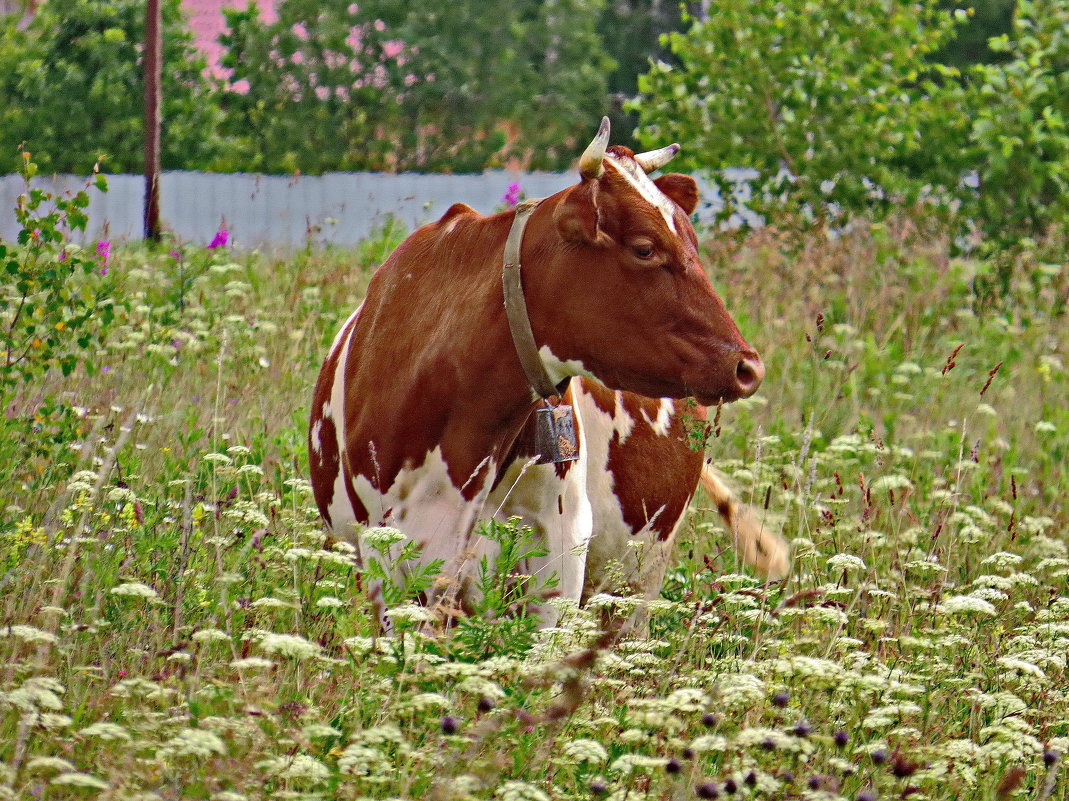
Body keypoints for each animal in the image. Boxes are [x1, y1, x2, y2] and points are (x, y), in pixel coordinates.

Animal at [305, 118, 791, 628]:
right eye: (644, 248)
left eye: (693, 243)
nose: (747, 366)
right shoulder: (386, 555)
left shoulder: (559, 549)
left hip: (638, 576)